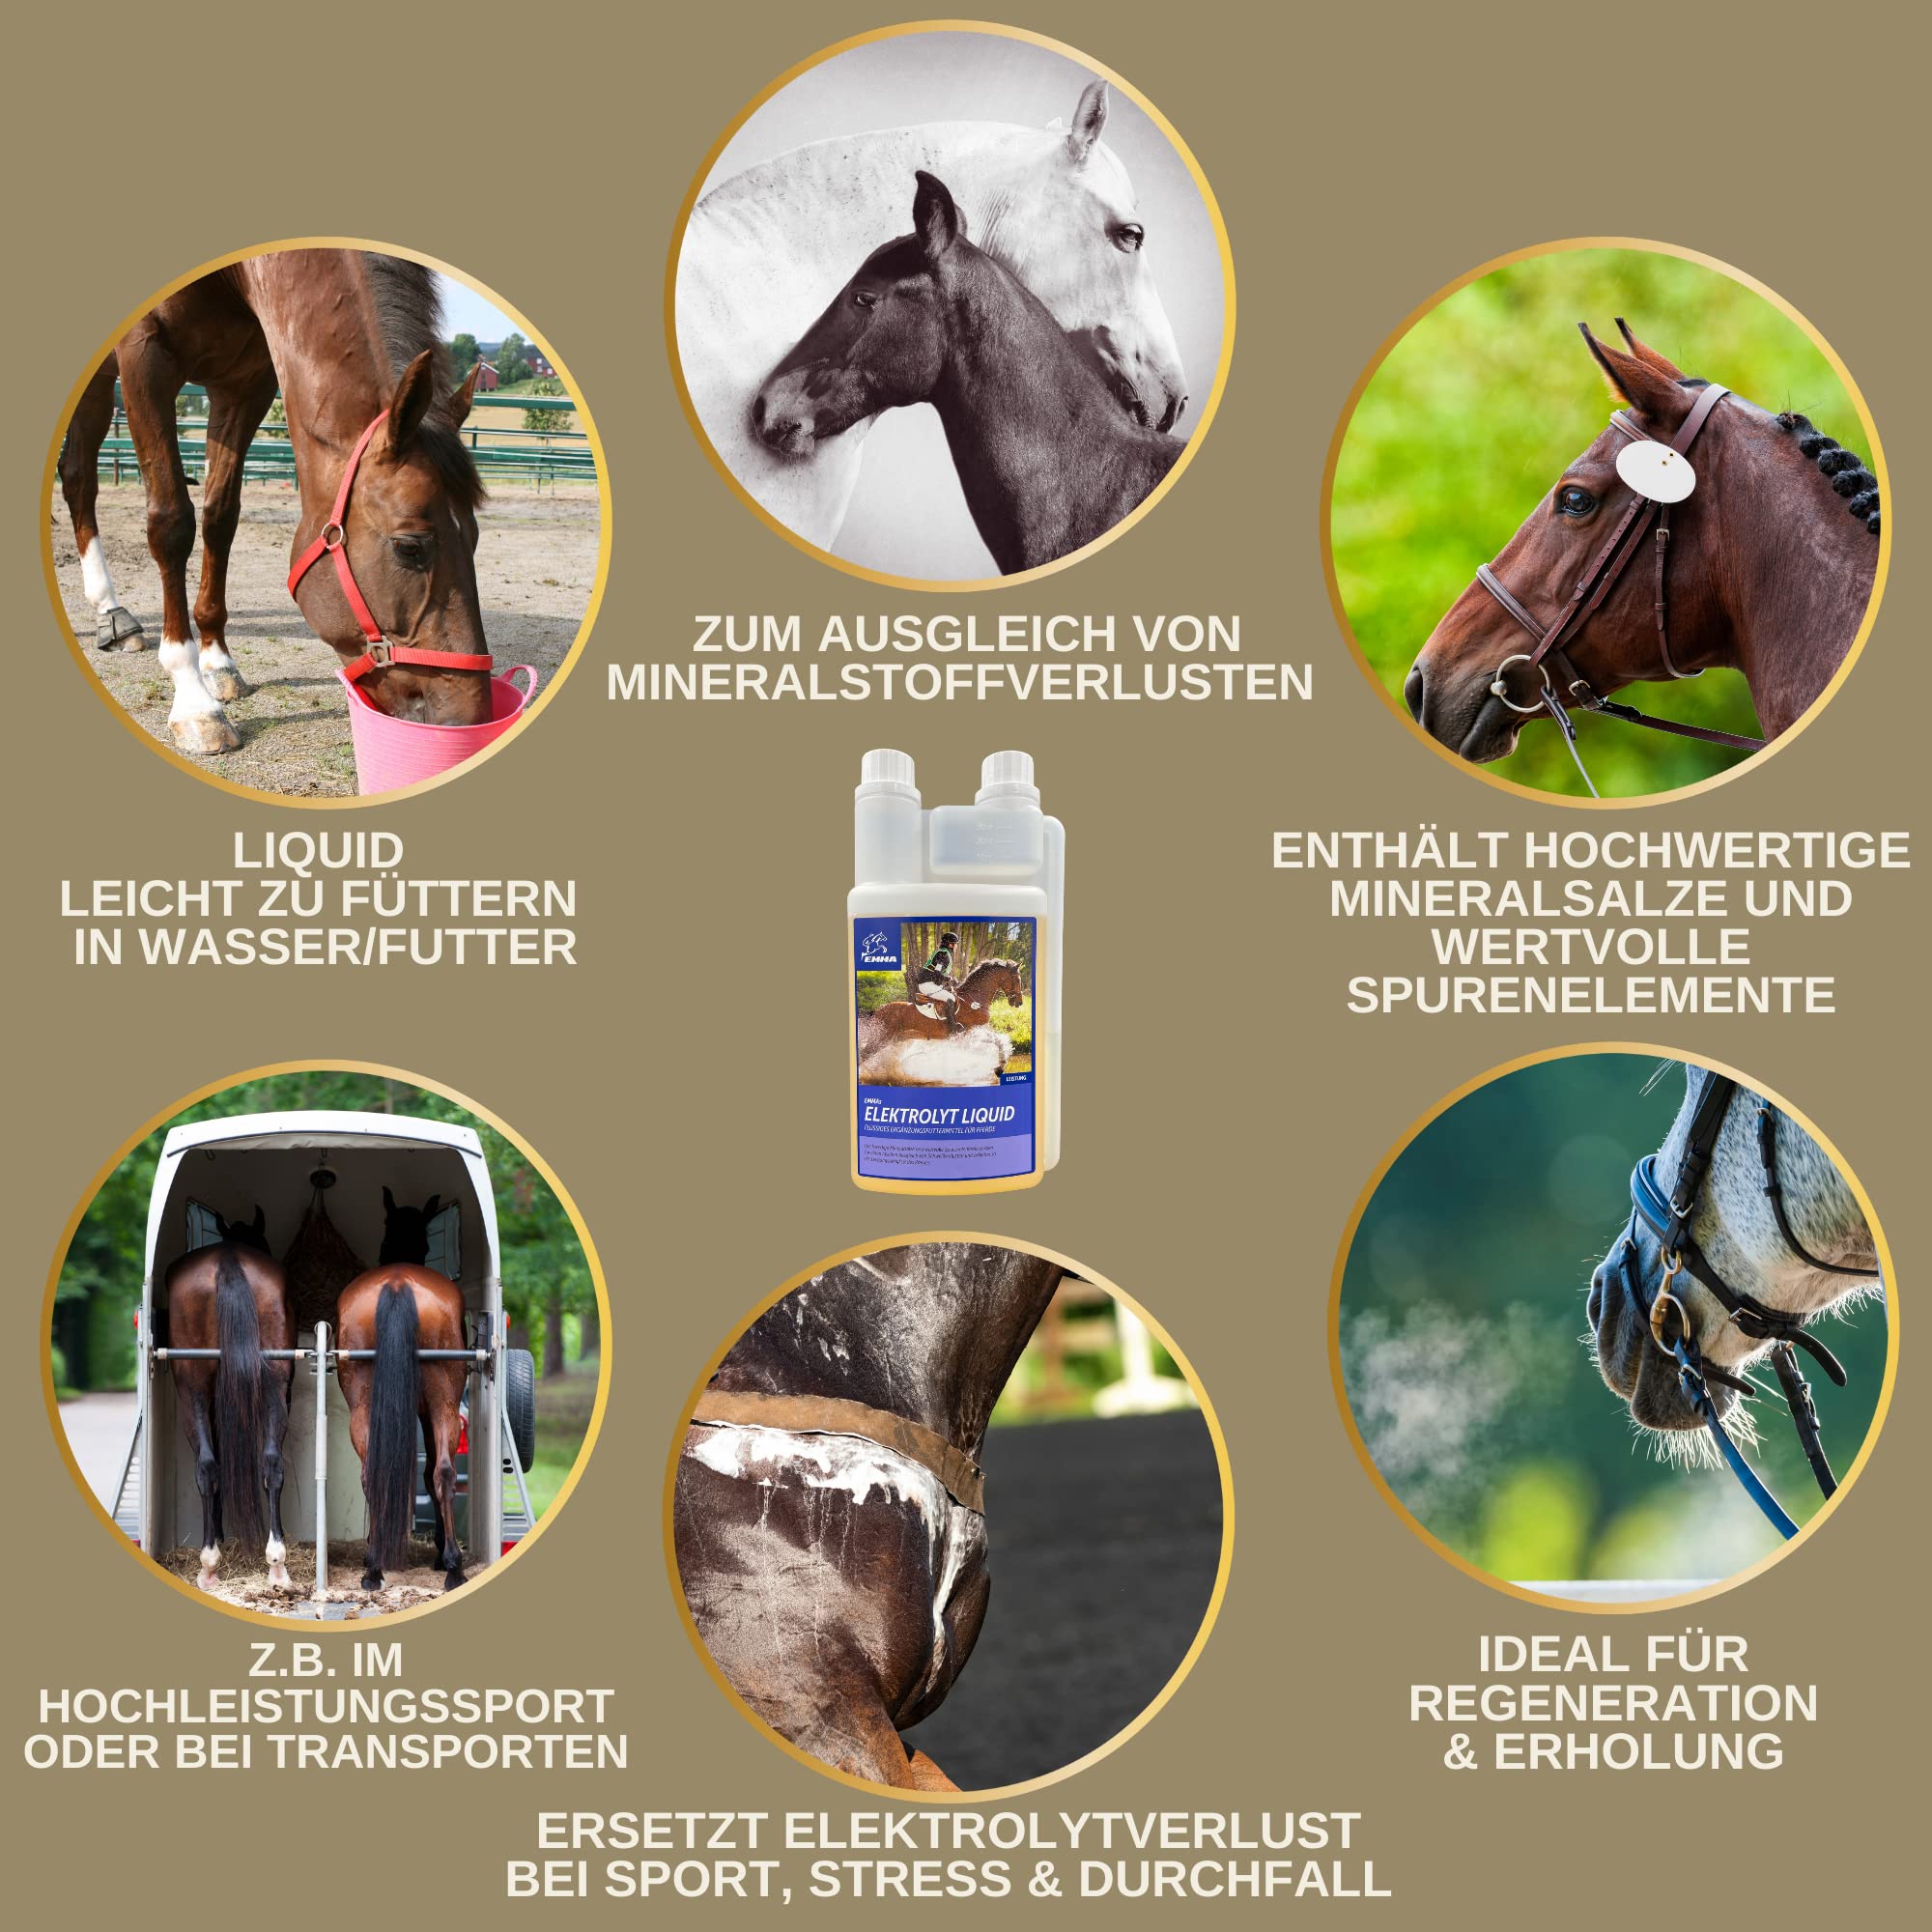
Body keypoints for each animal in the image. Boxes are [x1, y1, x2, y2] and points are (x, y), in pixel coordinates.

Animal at [56, 250, 491, 755]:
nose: (470, 718)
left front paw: (218, 661)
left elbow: (220, 516)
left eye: (475, 538)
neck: (230, 278)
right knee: (81, 480)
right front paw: (194, 701)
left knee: (77, 476)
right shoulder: (143, 355)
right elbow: (172, 523)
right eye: (410, 547)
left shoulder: (245, 385)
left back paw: (112, 615)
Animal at [161, 1206, 295, 1592]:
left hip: (191, 1388)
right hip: (273, 1382)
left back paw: (209, 1562)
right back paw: (276, 1562)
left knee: (206, 1465)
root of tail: (227, 1260)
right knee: (270, 1461)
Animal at [334, 1188, 469, 1593]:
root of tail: (397, 1284)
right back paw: (453, 1567)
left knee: (374, 1473)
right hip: (443, 1402)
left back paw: (374, 1567)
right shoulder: (425, 1412)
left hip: (364, 1407)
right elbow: (427, 1474)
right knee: (442, 1471)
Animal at [858, 957, 1026, 1085]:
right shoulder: (970, 1033)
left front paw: (1000, 1068)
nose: (1019, 1003)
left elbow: (999, 1041)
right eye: (1018, 979)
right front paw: (999, 1068)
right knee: (863, 1054)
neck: (975, 998)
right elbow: (998, 1041)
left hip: (898, 1040)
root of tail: (879, 1010)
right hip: (882, 1038)